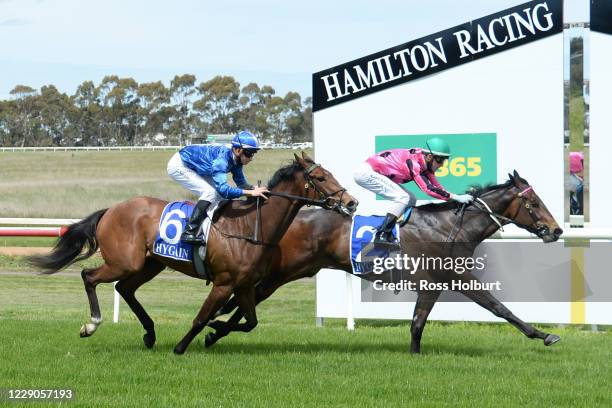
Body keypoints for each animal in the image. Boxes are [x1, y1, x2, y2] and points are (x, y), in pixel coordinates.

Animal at [29, 152, 358, 354]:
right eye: (321, 178)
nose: (352, 202)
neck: (251, 226)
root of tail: (111, 209)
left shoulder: (244, 284)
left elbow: (250, 322)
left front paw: (215, 330)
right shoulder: (224, 282)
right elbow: (200, 317)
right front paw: (182, 347)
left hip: (148, 265)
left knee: (124, 288)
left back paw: (149, 333)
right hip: (125, 262)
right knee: (90, 276)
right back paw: (91, 325)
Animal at [207, 171, 564, 352]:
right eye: (534, 202)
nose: (557, 230)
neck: (448, 227)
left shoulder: (453, 279)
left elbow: (494, 307)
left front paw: (544, 334)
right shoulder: (439, 282)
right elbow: (427, 321)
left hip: (288, 273)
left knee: (249, 300)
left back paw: (216, 331)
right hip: (282, 272)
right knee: (247, 299)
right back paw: (215, 330)